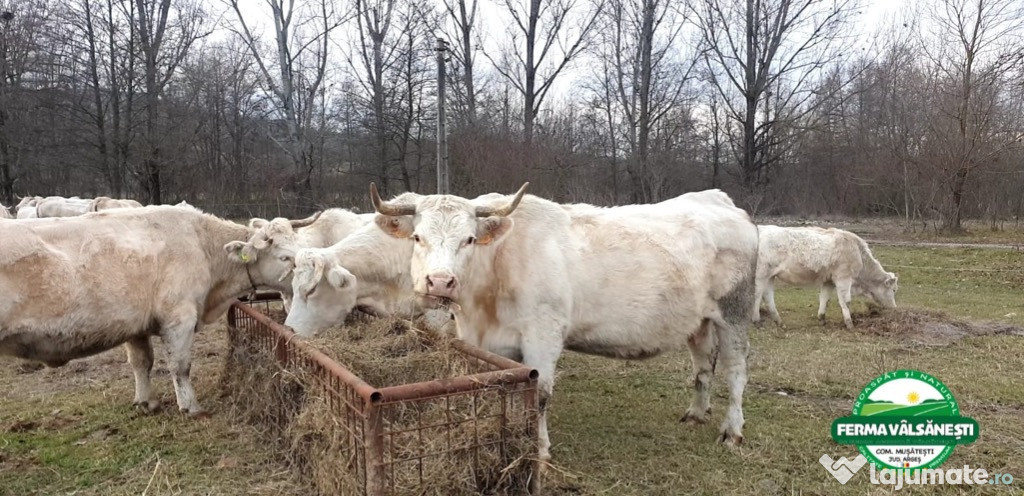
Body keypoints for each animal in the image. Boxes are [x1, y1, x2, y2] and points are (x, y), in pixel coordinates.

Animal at [1, 204, 299, 414]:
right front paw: (190, 407)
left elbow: (141, 362)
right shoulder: (179, 317)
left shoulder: (134, 324)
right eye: (285, 257)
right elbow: (180, 366)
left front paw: (146, 403)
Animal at [356, 184, 757, 459]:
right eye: (417, 237)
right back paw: (696, 413)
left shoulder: (543, 334)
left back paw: (732, 431)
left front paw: (539, 450)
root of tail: (718, 200)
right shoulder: (487, 343)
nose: (440, 282)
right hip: (699, 321)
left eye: (468, 239)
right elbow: (508, 392)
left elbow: (540, 395)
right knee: (703, 367)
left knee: (736, 372)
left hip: (734, 313)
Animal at [753, 225, 897, 329]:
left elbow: (825, 298)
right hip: (760, 275)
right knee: (757, 295)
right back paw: (756, 321)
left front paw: (822, 319)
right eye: (894, 290)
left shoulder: (829, 280)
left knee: (768, 297)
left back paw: (779, 322)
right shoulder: (843, 277)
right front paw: (849, 324)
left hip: (770, 276)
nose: (895, 309)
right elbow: (846, 301)